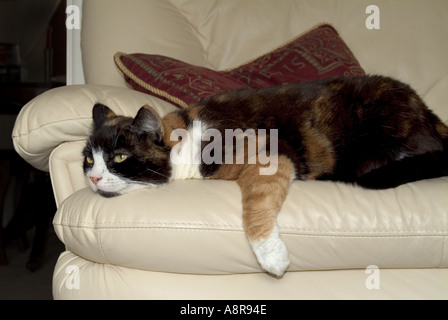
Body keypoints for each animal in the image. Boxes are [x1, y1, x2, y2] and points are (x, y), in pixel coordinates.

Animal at [83, 75, 448, 278]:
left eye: (119, 157)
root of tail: (428, 112)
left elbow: (255, 205)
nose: (94, 178)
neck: (186, 136)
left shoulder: (268, 153)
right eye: (88, 159)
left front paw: (271, 255)